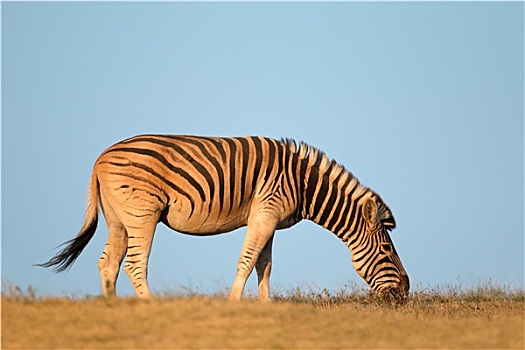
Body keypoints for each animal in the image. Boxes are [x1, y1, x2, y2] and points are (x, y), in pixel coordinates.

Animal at [41, 134, 410, 300]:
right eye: (388, 251)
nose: (406, 290)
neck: (303, 184)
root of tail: (101, 158)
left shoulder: (268, 219)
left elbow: (265, 264)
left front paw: (266, 306)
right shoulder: (266, 210)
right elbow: (247, 261)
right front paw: (234, 304)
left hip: (119, 220)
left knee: (108, 263)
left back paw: (115, 306)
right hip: (143, 214)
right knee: (133, 264)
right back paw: (150, 306)